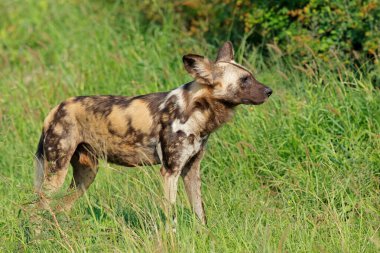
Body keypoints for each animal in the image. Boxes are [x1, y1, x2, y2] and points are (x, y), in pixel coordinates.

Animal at [34, 42, 272, 225]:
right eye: (245, 80)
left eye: (251, 76)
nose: (269, 91)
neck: (196, 111)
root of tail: (55, 109)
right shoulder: (170, 172)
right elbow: (171, 219)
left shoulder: (191, 171)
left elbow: (200, 215)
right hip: (56, 173)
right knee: (36, 211)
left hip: (86, 176)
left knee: (58, 209)